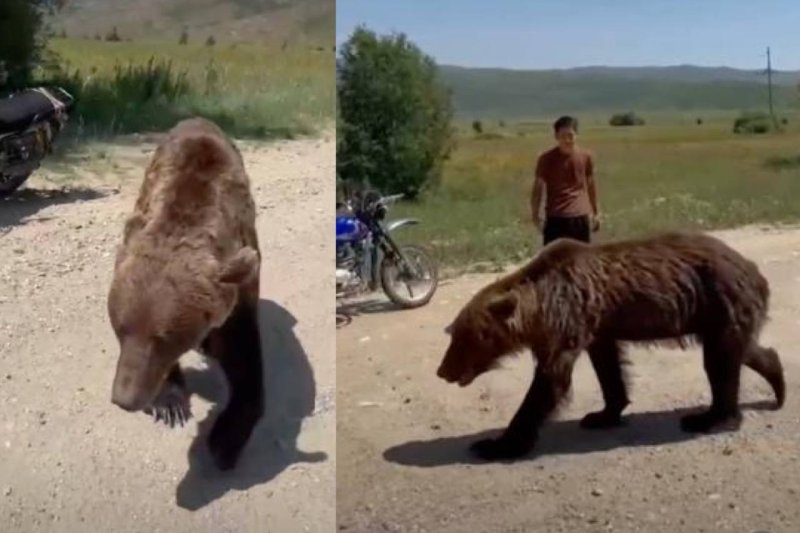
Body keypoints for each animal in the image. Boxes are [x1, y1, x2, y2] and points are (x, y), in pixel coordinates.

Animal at [107, 117, 263, 471]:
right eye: (120, 329)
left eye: (165, 338)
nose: (125, 400)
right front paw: (170, 404)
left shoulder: (240, 286)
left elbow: (244, 356)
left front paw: (225, 439)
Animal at [436, 231, 785, 462]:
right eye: (453, 334)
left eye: (464, 337)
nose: (442, 370)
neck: (540, 306)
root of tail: (754, 270)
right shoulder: (596, 324)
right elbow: (607, 366)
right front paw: (603, 414)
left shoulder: (569, 319)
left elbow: (550, 380)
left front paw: (496, 444)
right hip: (714, 315)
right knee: (740, 351)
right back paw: (776, 381)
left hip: (719, 300)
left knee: (720, 361)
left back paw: (711, 419)